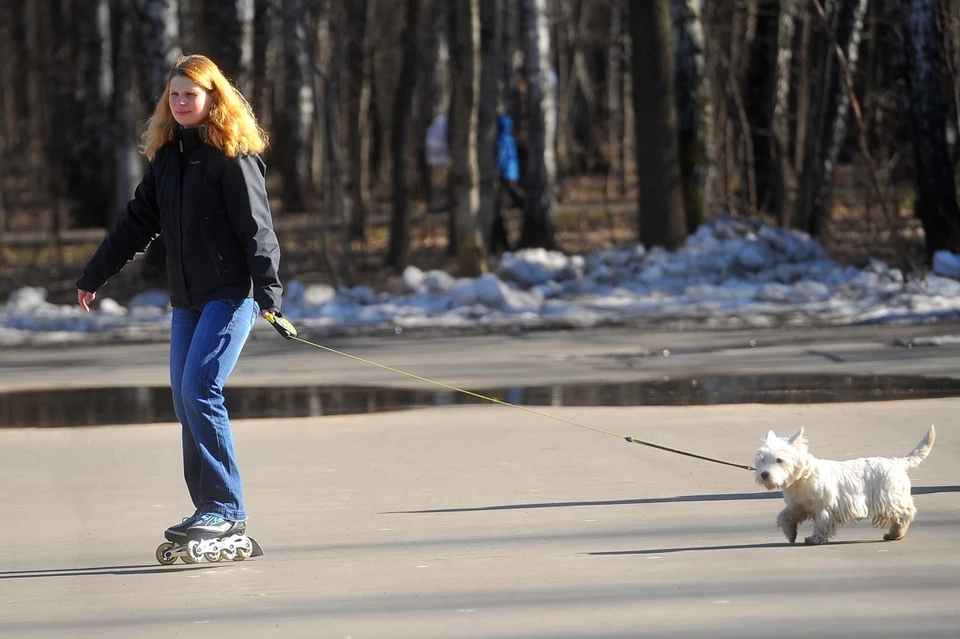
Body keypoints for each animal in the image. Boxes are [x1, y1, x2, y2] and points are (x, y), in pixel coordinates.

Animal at [752, 424, 932, 544]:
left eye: (779, 460)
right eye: (762, 459)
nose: (764, 475)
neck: (801, 479)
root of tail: (897, 462)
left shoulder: (824, 506)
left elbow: (821, 521)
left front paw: (815, 538)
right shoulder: (796, 505)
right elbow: (785, 516)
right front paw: (790, 533)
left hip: (889, 497)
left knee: (905, 512)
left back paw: (896, 533)